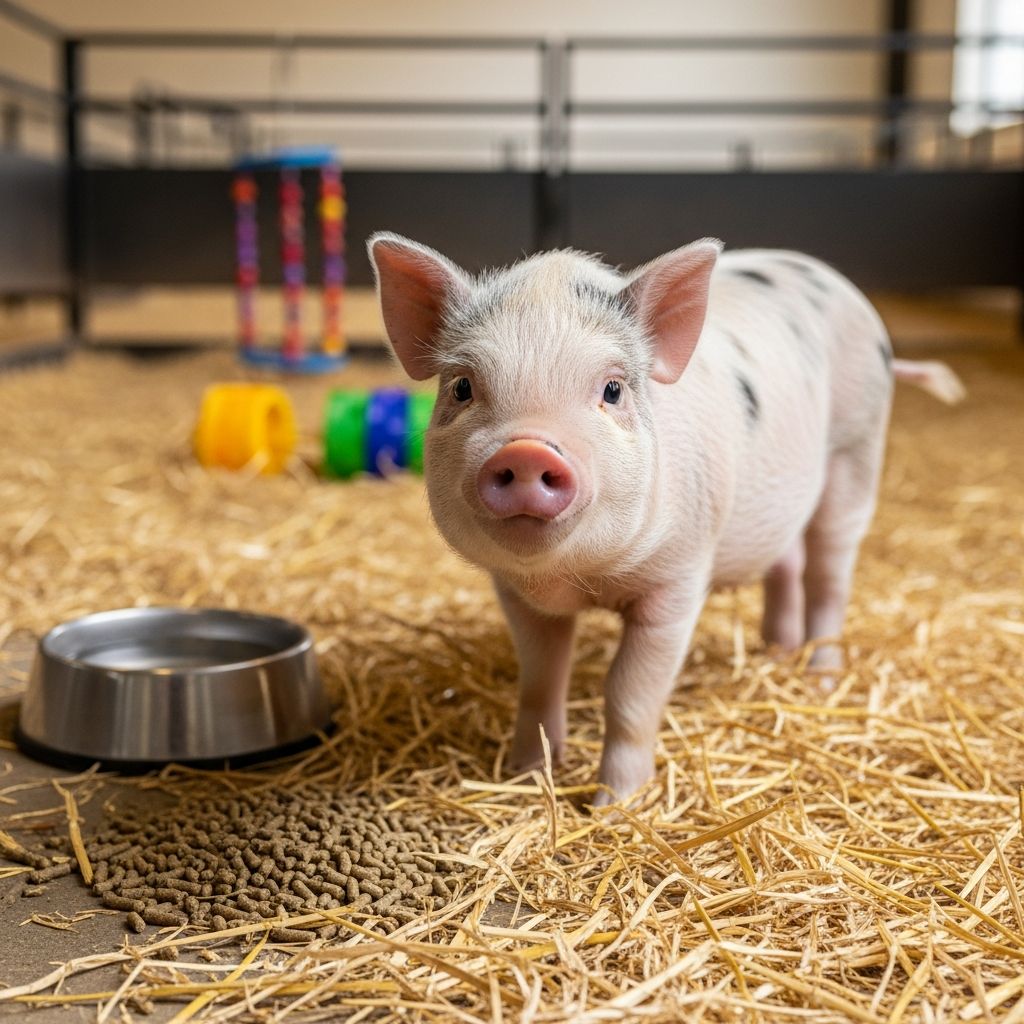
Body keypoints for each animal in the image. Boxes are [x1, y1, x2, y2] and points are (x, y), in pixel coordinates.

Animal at [368, 233, 964, 804]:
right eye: (463, 387)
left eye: (612, 389)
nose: (528, 450)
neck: (577, 579)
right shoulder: (518, 595)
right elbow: (539, 681)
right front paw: (526, 775)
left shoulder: (676, 582)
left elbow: (629, 695)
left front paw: (616, 804)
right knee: (787, 562)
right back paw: (776, 650)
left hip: (856, 450)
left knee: (829, 573)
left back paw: (819, 677)